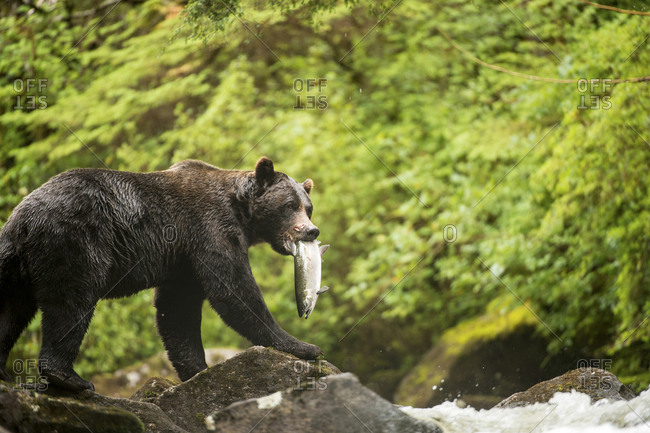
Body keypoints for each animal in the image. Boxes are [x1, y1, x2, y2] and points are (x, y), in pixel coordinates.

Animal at [0, 157, 322, 391]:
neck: (242, 214)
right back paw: (70, 378)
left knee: (12, 310)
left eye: (308, 207)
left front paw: (198, 370)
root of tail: (21, 219)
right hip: (73, 241)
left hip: (15, 266)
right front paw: (302, 346)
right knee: (72, 302)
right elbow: (234, 290)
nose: (310, 230)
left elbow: (177, 311)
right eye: (289, 205)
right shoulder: (209, 229)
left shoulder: (183, 262)